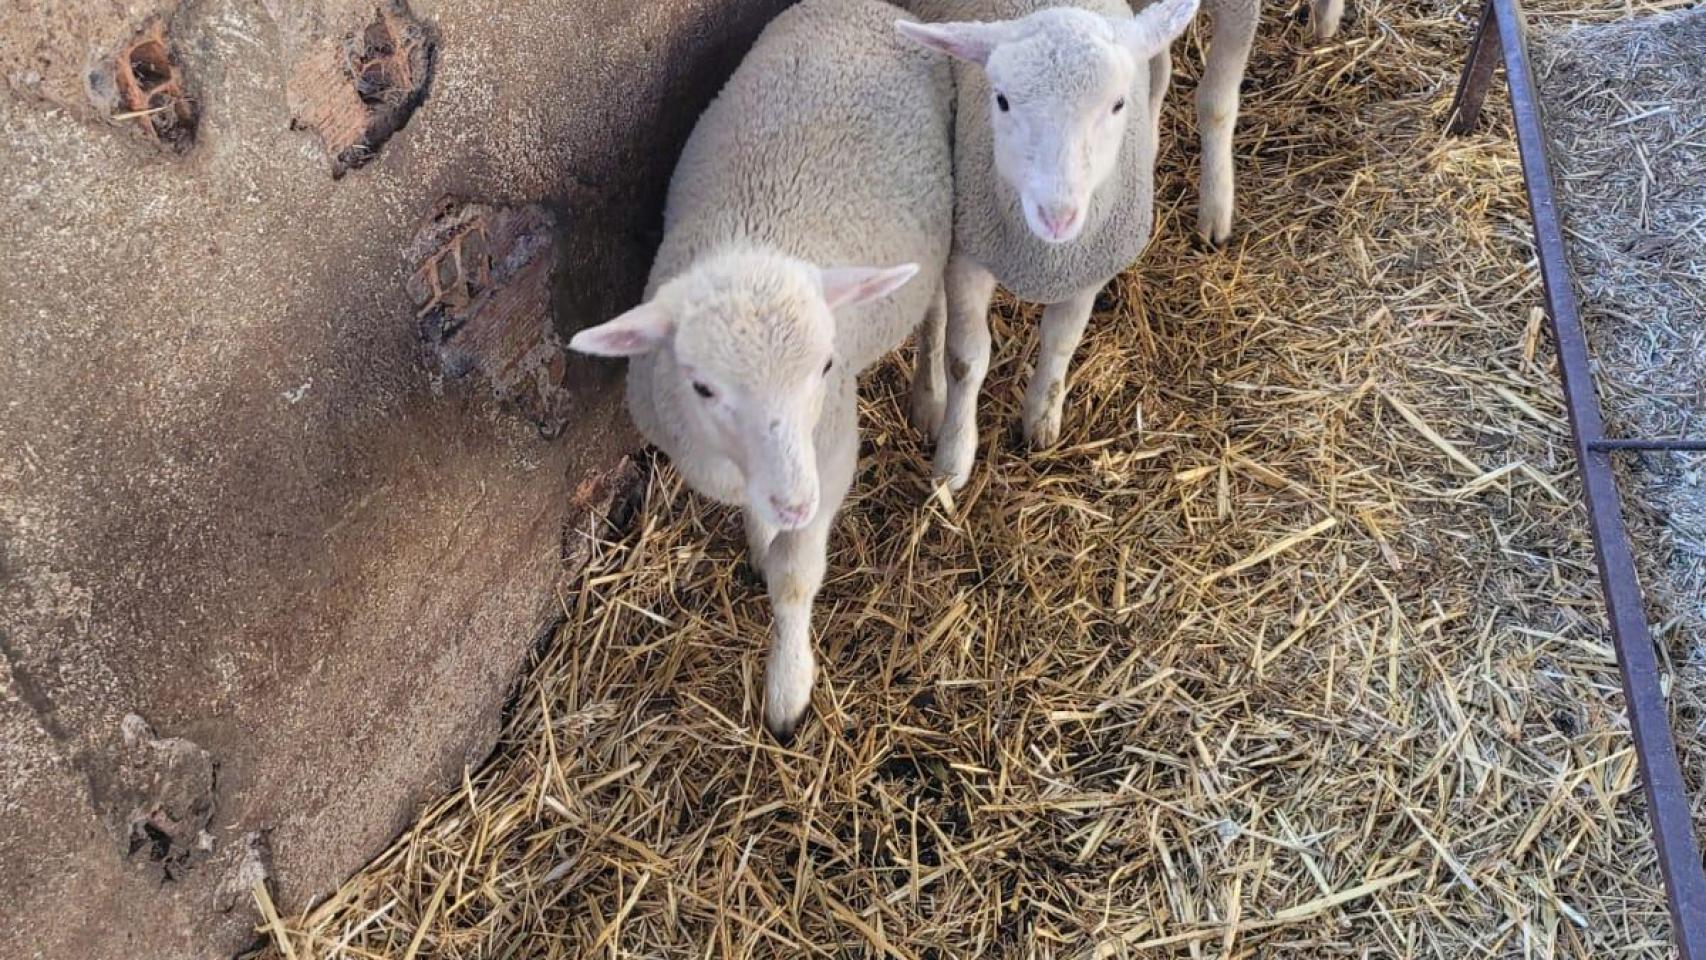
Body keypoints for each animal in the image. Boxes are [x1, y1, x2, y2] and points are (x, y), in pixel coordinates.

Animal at [566, 0, 955, 740]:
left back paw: (930, 393)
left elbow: (795, 578)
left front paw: (787, 691)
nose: (796, 501)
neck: (752, 240)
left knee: (938, 308)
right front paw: (758, 541)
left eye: (827, 365)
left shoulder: (831, 455)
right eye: (703, 387)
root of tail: (867, 9)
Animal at [893, 0, 1201, 487]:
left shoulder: (1088, 265)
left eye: (1117, 104)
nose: (1058, 216)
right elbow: (965, 359)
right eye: (1001, 99)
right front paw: (953, 460)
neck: (1044, 258)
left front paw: (1041, 420)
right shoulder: (970, 253)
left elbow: (1061, 341)